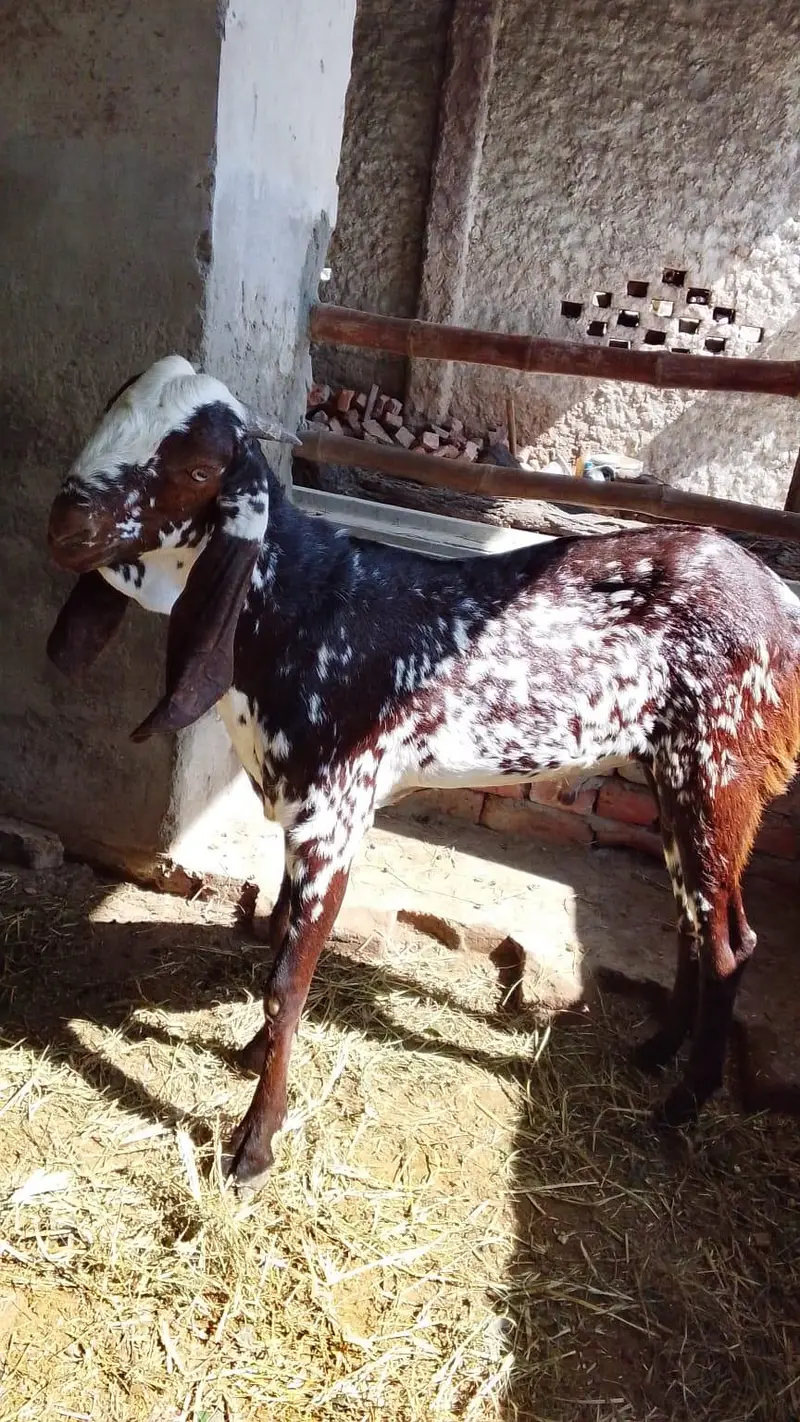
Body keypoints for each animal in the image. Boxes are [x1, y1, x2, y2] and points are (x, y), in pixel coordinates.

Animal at [47, 355, 800, 1192]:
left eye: (199, 469)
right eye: (112, 406)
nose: (66, 523)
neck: (303, 605)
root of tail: (778, 602)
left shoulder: (336, 813)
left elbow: (287, 981)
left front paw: (254, 1146)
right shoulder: (301, 813)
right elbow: (277, 939)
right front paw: (248, 1056)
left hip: (719, 768)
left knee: (732, 941)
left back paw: (682, 1103)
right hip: (674, 776)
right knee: (695, 918)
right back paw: (656, 1050)